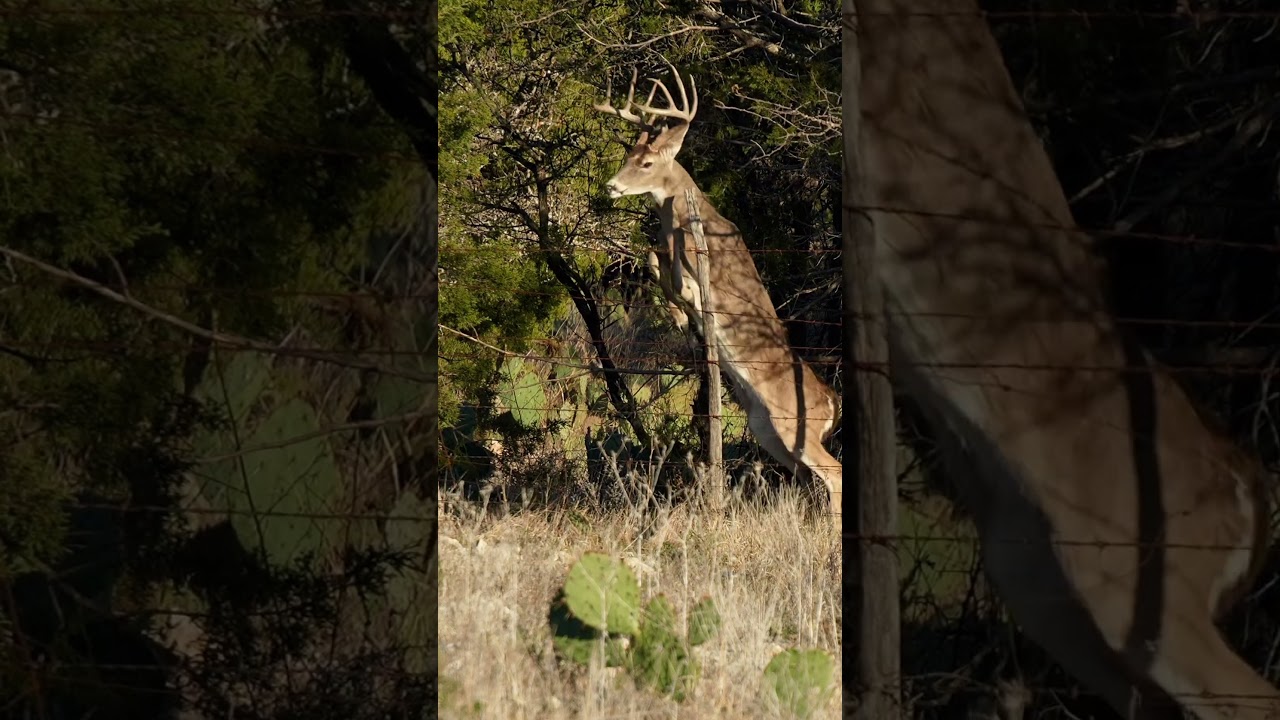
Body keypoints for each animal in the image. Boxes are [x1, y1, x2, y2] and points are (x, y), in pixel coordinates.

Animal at [593, 64, 843, 517]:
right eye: (628, 156)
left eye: (647, 162)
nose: (612, 186)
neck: (686, 213)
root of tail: (832, 404)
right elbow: (654, 260)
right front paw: (677, 315)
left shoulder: (699, 260)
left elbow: (677, 273)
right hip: (769, 431)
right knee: (807, 476)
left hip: (793, 426)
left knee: (834, 472)